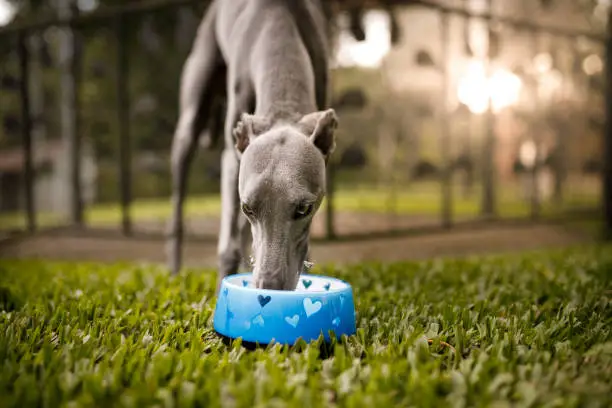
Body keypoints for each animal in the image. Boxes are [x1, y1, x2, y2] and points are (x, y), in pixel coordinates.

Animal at [166, 0, 340, 294]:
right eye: (248, 207)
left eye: (304, 209)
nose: (268, 286)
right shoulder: (232, 157)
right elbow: (228, 245)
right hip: (193, 107)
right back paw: (174, 270)